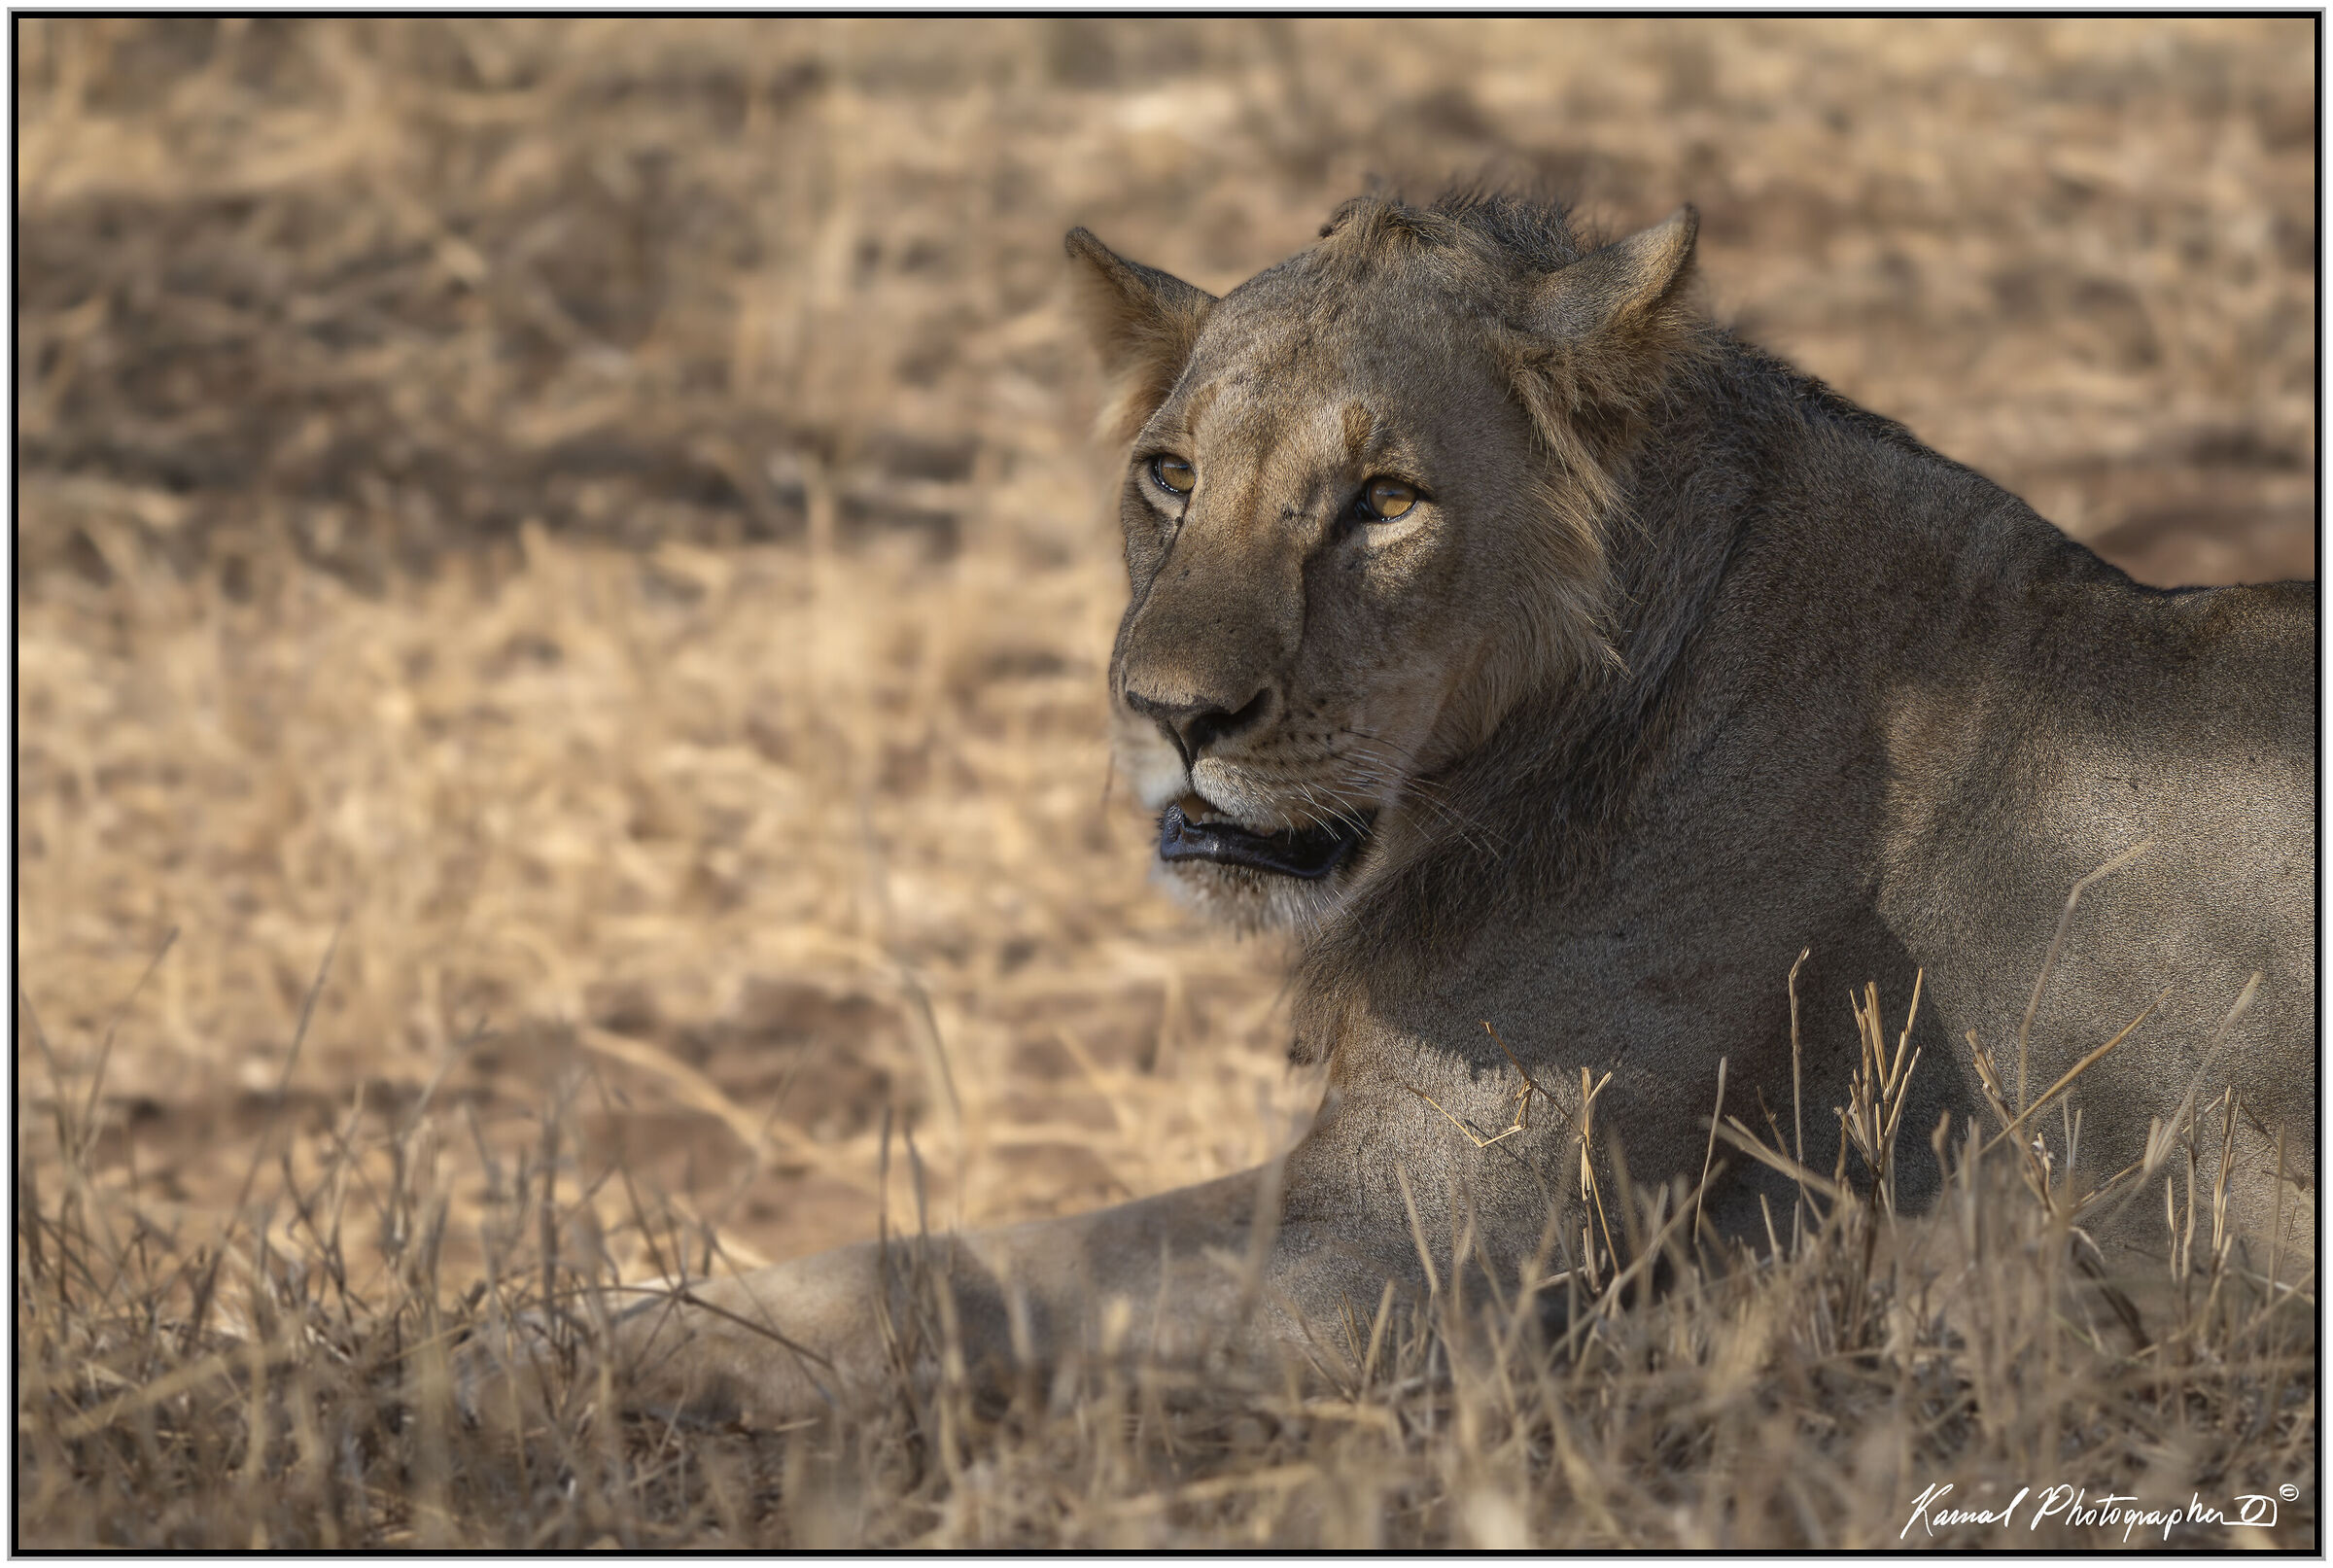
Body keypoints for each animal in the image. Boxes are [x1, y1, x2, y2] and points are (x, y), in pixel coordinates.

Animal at [478, 189, 2314, 1429]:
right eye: (1169, 476)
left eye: (1383, 500)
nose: (1171, 715)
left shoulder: (1419, 1266)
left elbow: (946, 1272)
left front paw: (520, 1343)